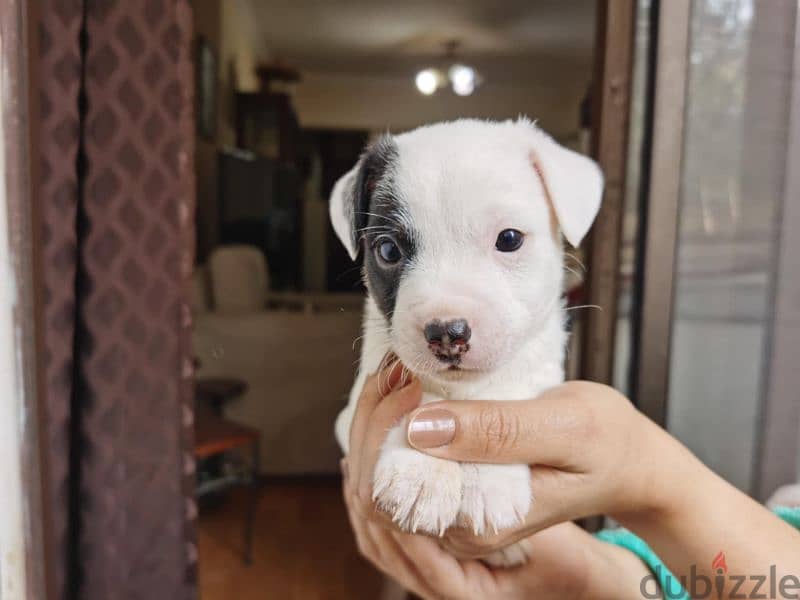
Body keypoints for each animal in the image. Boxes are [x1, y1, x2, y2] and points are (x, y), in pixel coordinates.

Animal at [330, 118, 600, 568]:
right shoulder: (353, 409)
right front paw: (422, 470)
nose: (446, 332)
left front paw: (489, 479)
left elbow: (509, 393)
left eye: (509, 239)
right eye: (388, 250)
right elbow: (422, 400)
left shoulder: (540, 372)